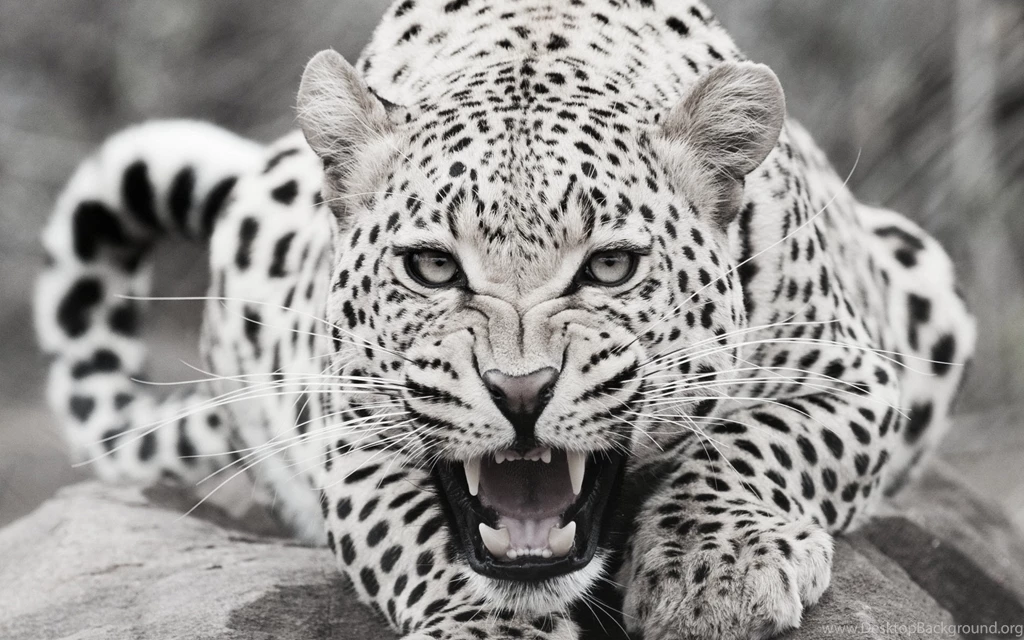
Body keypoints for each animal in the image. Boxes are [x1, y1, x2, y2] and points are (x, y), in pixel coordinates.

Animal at [35, 1, 976, 638]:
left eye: (610, 267)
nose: (521, 392)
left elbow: (760, 442)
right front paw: (487, 626)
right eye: (432, 267)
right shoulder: (349, 431)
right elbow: (415, 533)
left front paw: (715, 572)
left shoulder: (854, 374)